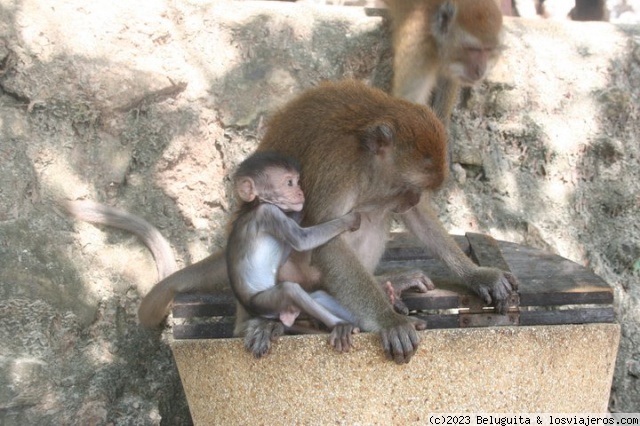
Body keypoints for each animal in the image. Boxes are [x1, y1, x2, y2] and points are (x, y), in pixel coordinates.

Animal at [228, 151, 362, 356]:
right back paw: (339, 325)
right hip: (262, 303)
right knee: (289, 290)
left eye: (297, 182)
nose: (300, 192)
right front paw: (349, 219)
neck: (257, 205)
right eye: (289, 183)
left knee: (317, 296)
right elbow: (301, 240)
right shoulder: (269, 213)